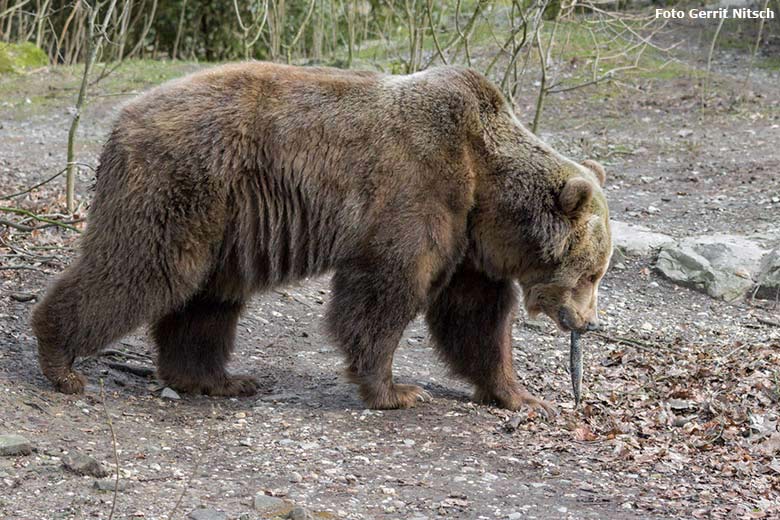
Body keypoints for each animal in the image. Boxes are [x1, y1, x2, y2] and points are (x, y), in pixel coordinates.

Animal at [33, 62, 612, 414]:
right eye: (590, 273)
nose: (586, 321)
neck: (485, 186)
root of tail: (121, 119)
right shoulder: (418, 191)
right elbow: (385, 292)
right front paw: (396, 390)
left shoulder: (467, 239)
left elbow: (475, 319)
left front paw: (522, 396)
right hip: (181, 185)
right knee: (143, 270)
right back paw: (60, 361)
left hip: (224, 225)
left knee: (207, 299)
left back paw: (218, 379)